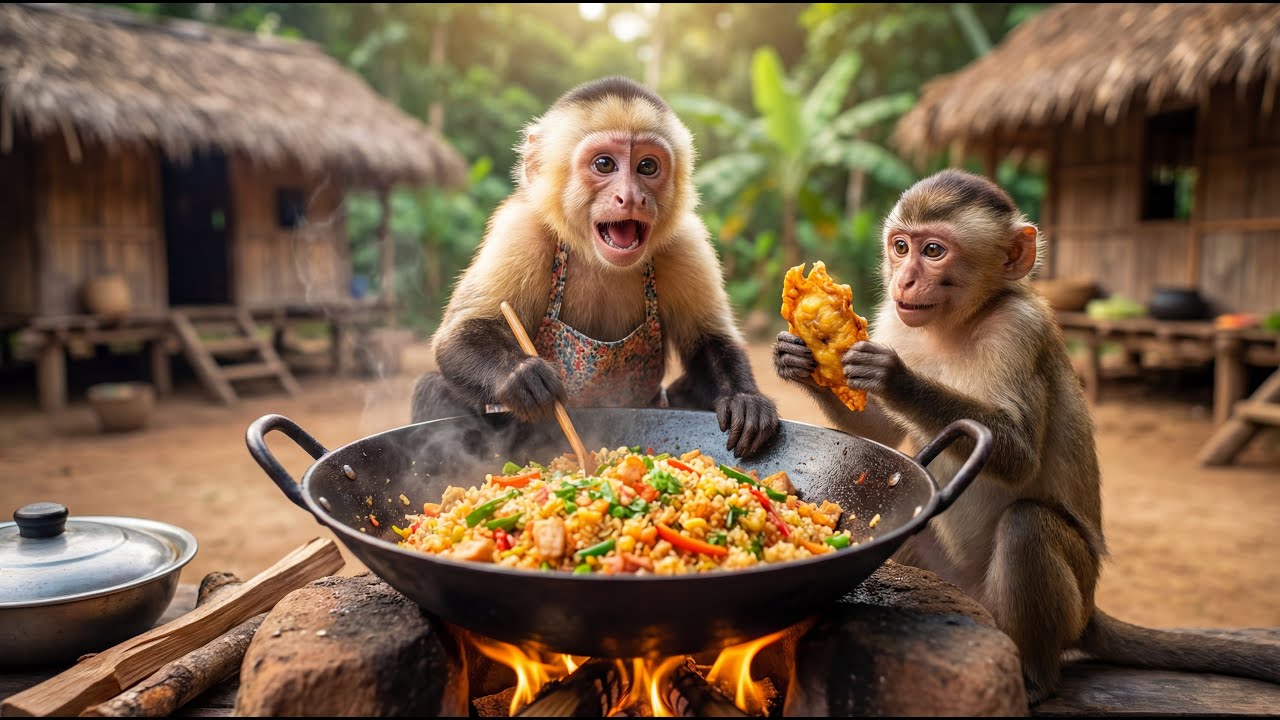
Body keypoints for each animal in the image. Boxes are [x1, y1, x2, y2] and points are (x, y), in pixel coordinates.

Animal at [413, 76, 780, 459]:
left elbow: (709, 339)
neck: (597, 258)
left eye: (647, 167)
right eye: (604, 164)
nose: (631, 197)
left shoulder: (686, 241)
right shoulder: (521, 230)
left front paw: (743, 400)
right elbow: (458, 336)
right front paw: (520, 377)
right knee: (434, 389)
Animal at [773, 169, 1279, 704]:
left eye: (933, 250)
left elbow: (1018, 456)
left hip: (1064, 599)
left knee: (1027, 527)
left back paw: (1036, 676)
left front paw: (893, 377)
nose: (904, 279)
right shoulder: (895, 317)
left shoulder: (1020, 331)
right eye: (900, 246)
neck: (954, 325)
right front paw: (797, 358)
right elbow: (880, 431)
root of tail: (1090, 611)